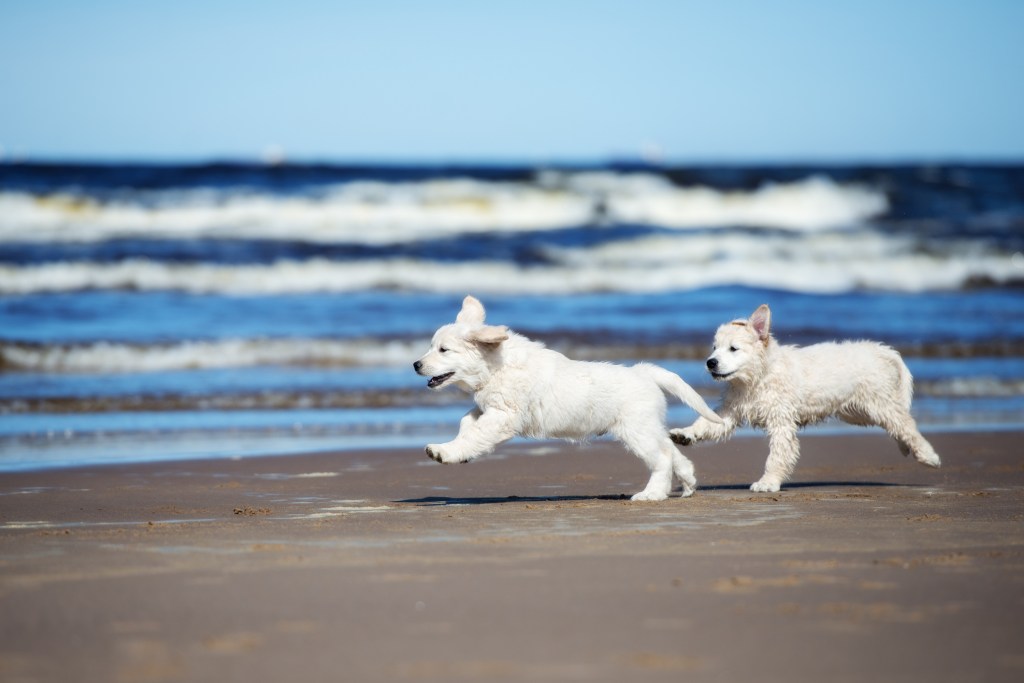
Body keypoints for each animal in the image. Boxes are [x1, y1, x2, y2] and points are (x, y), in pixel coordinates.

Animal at [411, 294, 724, 501]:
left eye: (443, 350)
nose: (415, 364)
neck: (495, 366)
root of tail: (643, 372)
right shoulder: (492, 408)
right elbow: (468, 420)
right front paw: (459, 448)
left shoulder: (504, 417)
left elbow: (474, 435)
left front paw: (446, 452)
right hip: (648, 427)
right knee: (672, 451)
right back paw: (688, 482)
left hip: (636, 431)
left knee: (661, 458)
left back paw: (652, 494)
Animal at [667, 305, 937, 491]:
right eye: (714, 347)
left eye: (733, 348)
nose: (710, 363)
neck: (756, 379)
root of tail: (879, 349)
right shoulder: (731, 409)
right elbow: (707, 423)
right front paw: (685, 434)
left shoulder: (781, 421)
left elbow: (777, 456)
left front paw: (768, 482)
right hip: (857, 412)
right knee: (897, 425)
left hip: (878, 403)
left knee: (905, 424)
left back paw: (928, 455)